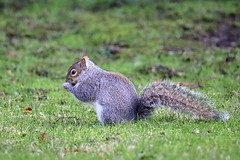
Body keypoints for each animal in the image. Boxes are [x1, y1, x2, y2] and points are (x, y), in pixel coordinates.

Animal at [62, 56, 229, 125]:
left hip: (107, 112)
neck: (89, 73)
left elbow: (83, 94)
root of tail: (133, 119)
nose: (66, 79)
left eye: (73, 72)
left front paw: (67, 86)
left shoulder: (91, 84)